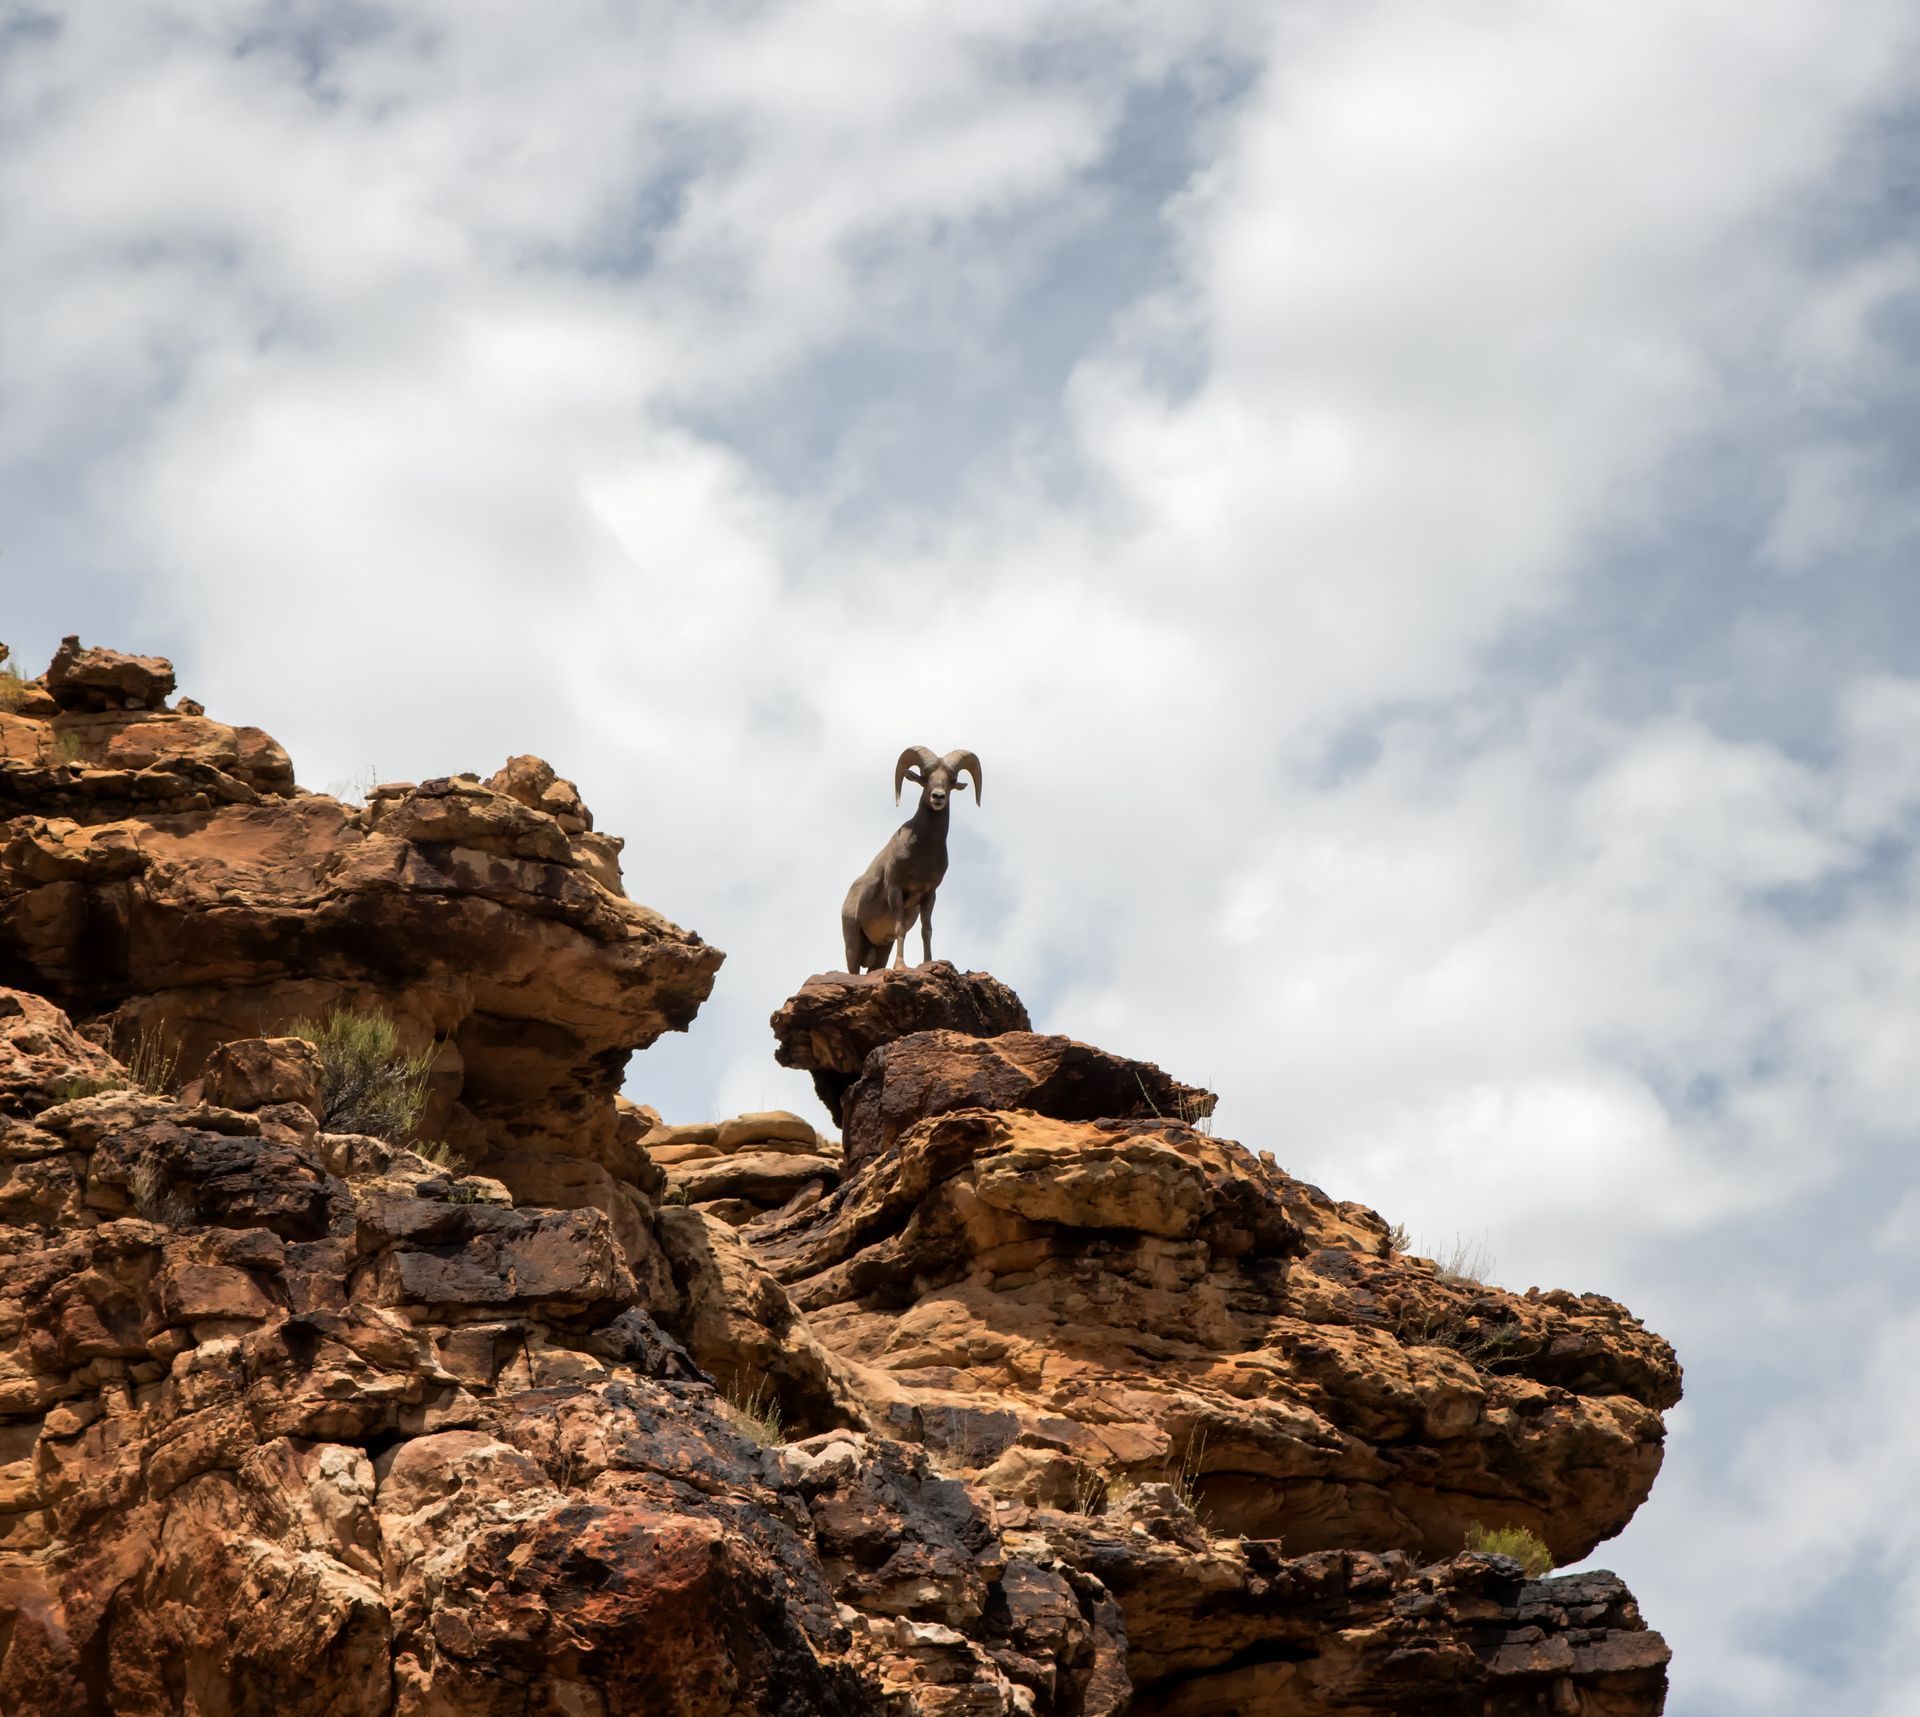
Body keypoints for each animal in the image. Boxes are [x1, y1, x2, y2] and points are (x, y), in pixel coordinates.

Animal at [842, 746, 983, 973]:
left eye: (951, 780)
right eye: (925, 777)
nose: (938, 796)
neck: (921, 856)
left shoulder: (929, 895)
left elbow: (927, 931)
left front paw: (928, 963)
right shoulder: (896, 890)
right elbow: (900, 928)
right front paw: (900, 967)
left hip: (881, 950)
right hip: (853, 945)